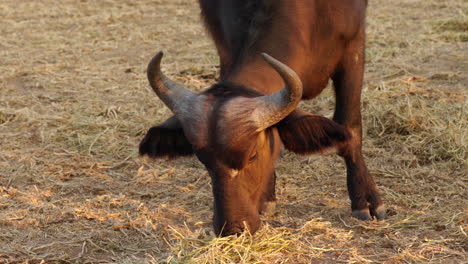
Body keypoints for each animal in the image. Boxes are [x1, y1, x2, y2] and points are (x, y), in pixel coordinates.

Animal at [140, 0, 388, 235]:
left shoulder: (353, 48)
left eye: (252, 156)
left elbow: (350, 126)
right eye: (203, 159)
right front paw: (267, 196)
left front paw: (365, 200)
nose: (232, 229)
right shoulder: (225, 48)